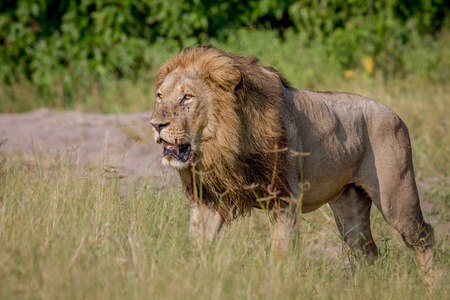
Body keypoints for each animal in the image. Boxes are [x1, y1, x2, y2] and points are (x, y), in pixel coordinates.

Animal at [149, 45, 434, 272]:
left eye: (188, 97)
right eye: (160, 96)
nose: (155, 124)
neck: (223, 146)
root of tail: (395, 114)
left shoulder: (285, 198)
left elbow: (280, 254)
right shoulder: (208, 200)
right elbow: (197, 247)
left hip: (396, 199)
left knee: (424, 235)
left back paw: (432, 283)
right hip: (349, 206)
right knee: (368, 251)